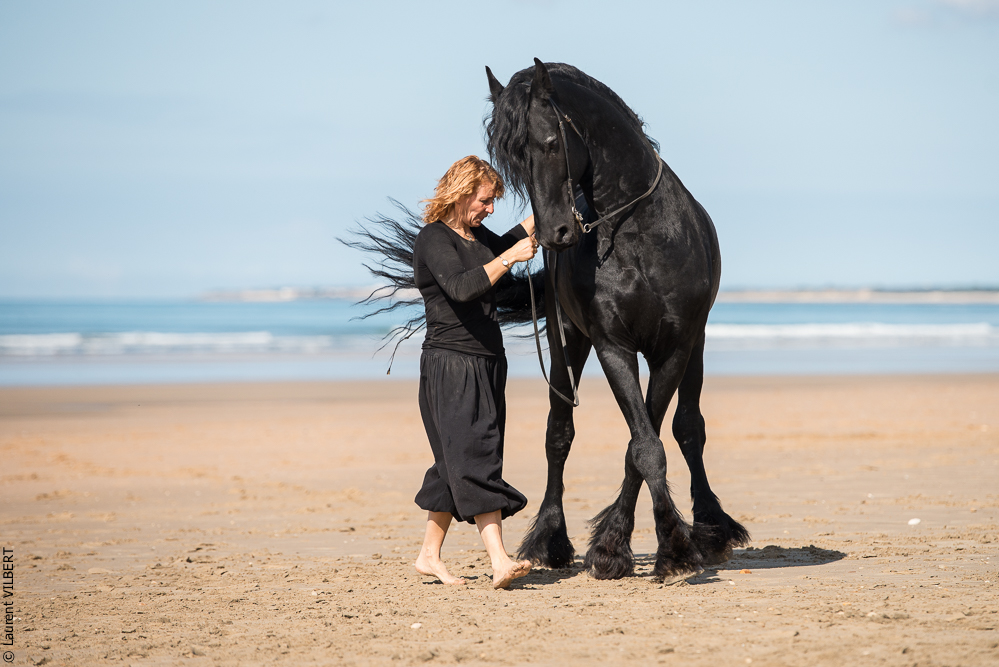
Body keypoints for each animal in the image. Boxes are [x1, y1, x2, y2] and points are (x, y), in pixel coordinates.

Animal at [483, 59, 750, 580]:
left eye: (550, 143)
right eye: (512, 162)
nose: (554, 233)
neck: (638, 233)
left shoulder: (675, 348)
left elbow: (647, 443)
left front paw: (664, 546)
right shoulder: (612, 346)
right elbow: (643, 445)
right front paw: (624, 548)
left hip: (696, 347)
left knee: (690, 429)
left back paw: (712, 528)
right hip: (567, 341)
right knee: (559, 435)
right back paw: (550, 539)